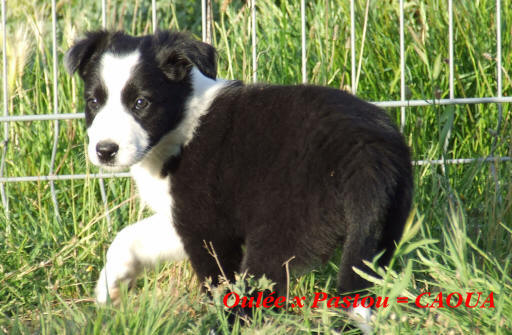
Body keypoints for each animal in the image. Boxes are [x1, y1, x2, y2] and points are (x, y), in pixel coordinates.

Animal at [66, 29, 414, 326]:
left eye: (141, 103)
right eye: (93, 101)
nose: (105, 150)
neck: (180, 124)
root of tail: (366, 154)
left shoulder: (206, 227)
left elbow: (216, 280)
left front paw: (213, 315)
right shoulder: (185, 218)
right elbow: (128, 237)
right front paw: (111, 287)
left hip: (282, 230)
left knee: (259, 293)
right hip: (384, 227)